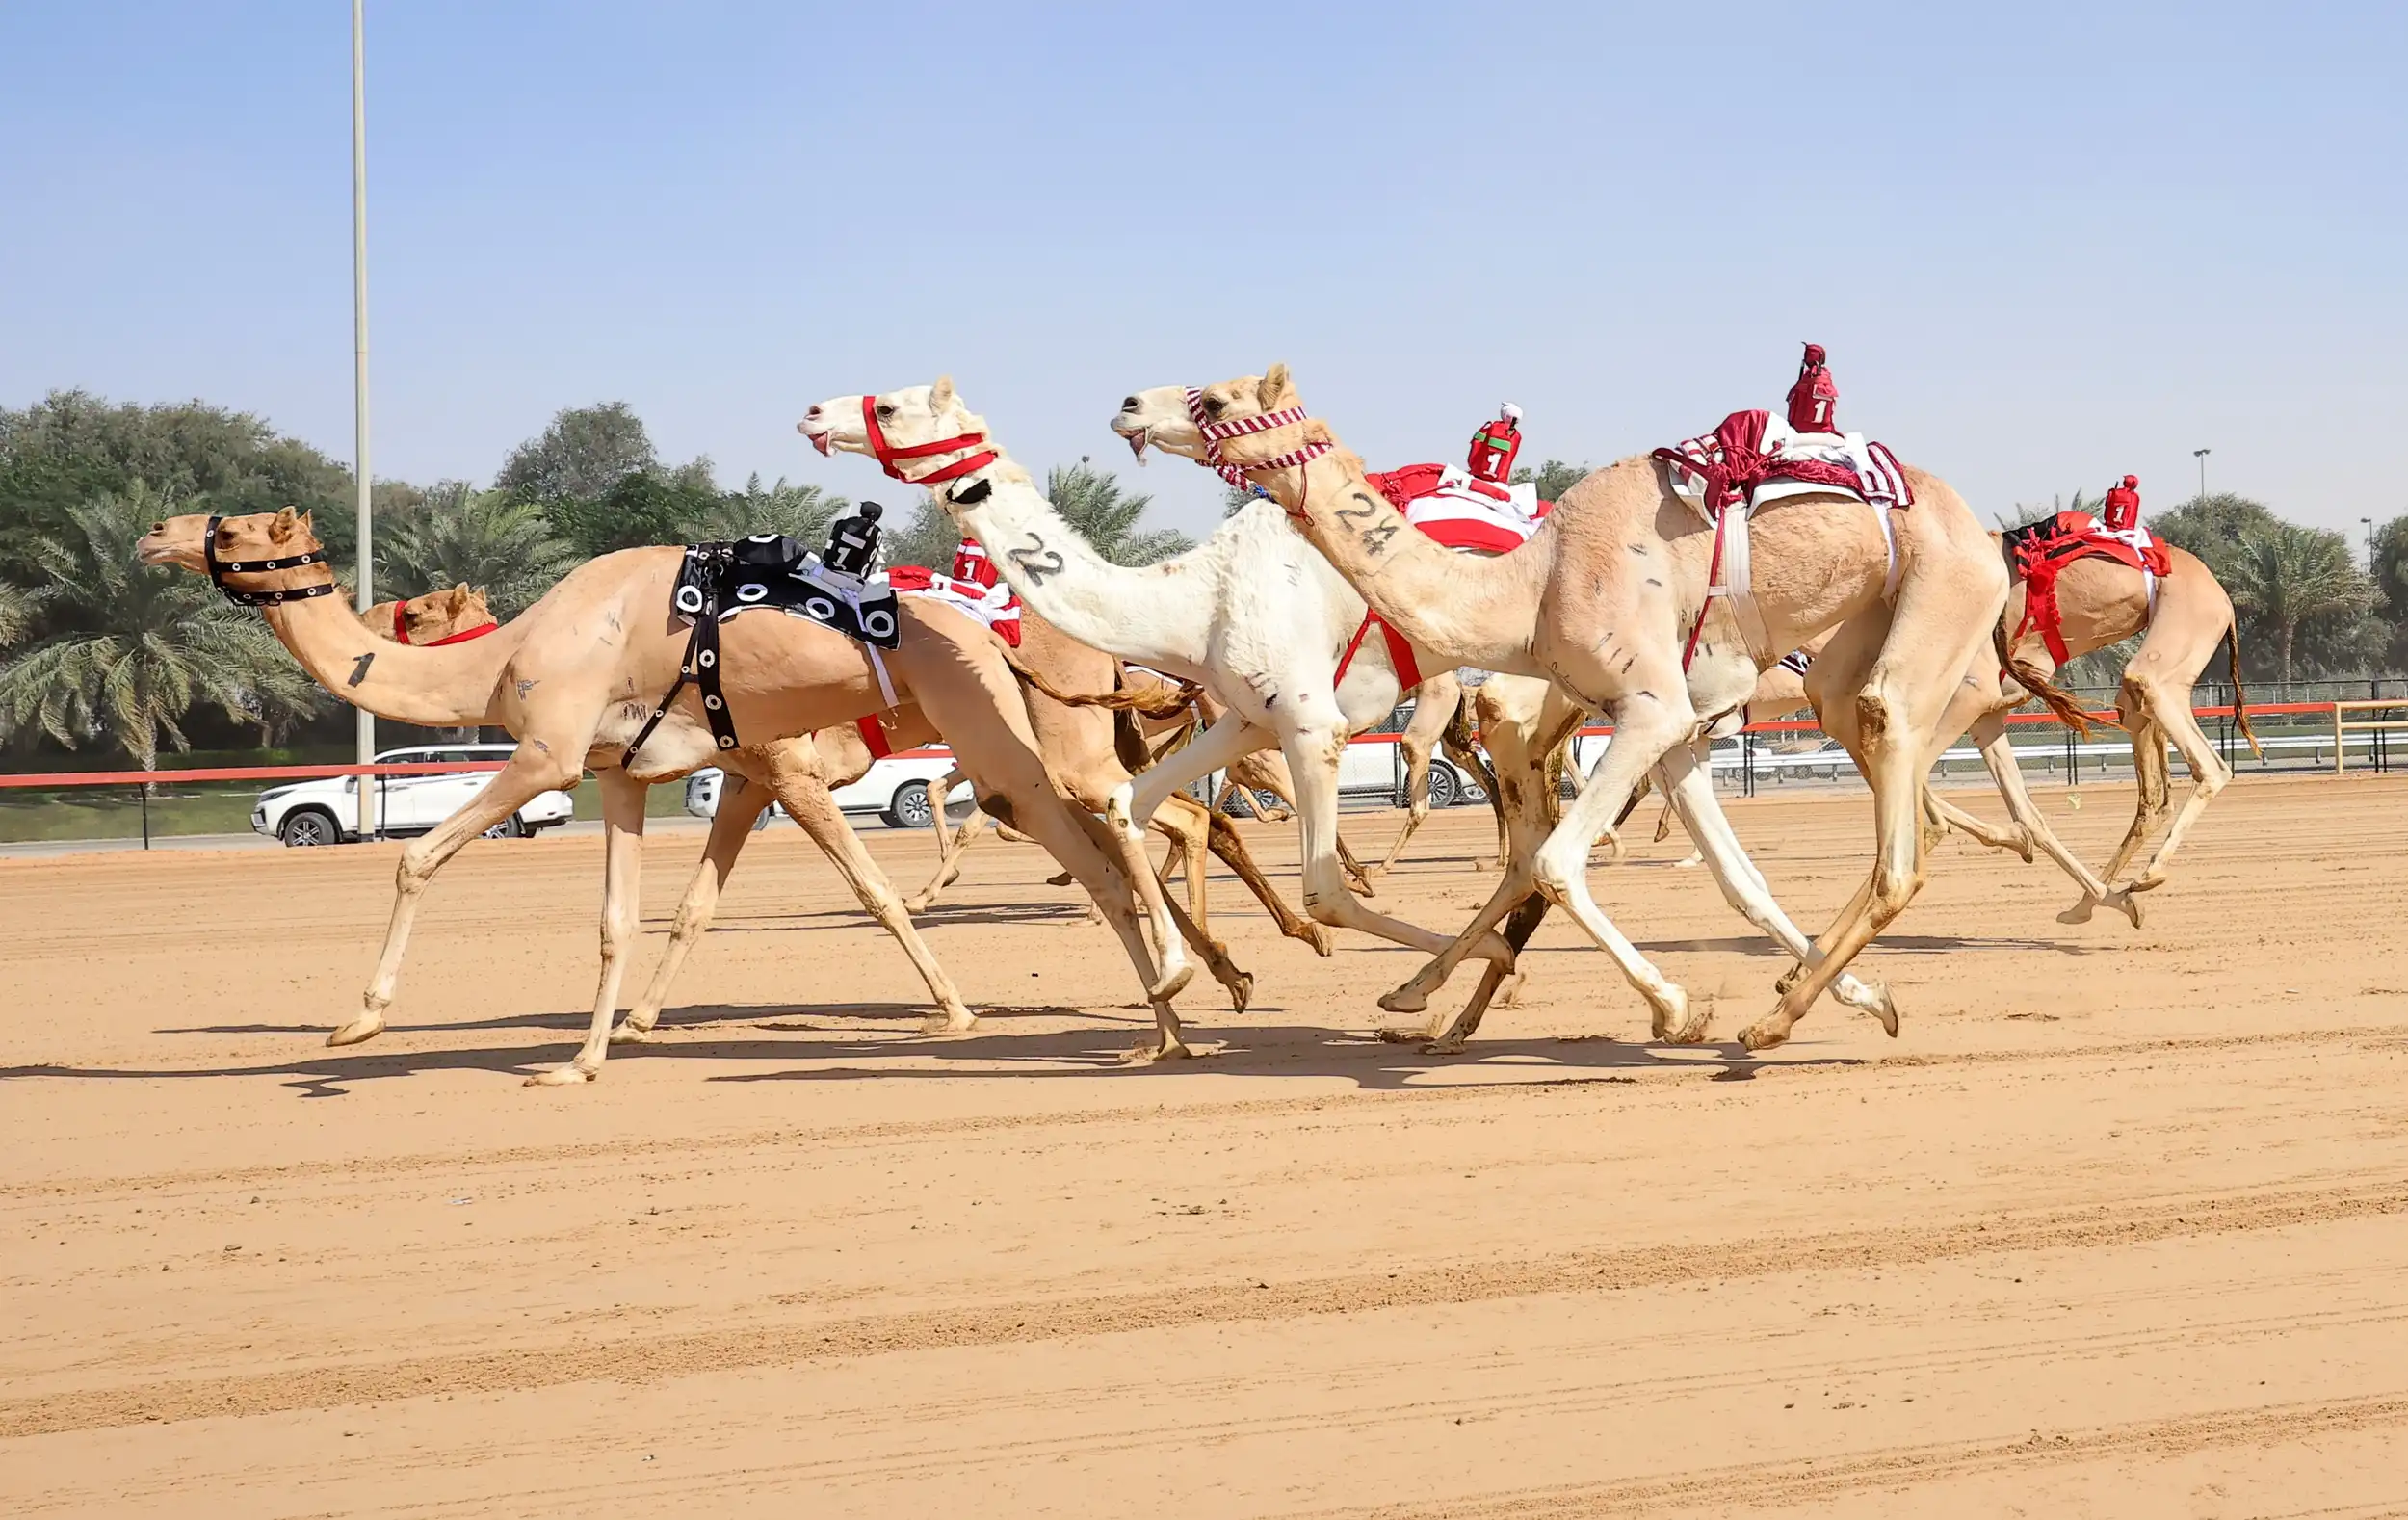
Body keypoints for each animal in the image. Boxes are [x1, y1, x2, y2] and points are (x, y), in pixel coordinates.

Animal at [137, 509, 1204, 1076]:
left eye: (232, 526)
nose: (156, 534)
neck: (516, 652)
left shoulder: (560, 757)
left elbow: (415, 857)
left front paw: (359, 1019)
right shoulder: (652, 774)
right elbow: (652, 914)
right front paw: (595, 1051)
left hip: (1011, 737)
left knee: (1106, 839)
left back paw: (1174, 1005)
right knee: (1131, 832)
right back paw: (1173, 1018)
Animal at [799, 380, 1536, 1000]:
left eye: (889, 405)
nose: (812, 413)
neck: (1194, 605)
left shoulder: (1310, 725)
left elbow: (1323, 890)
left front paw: (1462, 964)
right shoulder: (1250, 720)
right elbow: (1134, 807)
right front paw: (1177, 968)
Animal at [1119, 367, 2014, 1053]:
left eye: (1217, 399)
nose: (1129, 404)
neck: (1530, 587)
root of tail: (1984, 531)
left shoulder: (1647, 709)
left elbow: (1553, 862)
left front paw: (1676, 1009)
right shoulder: (1673, 725)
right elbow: (1739, 880)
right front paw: (1860, 994)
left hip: (1943, 599)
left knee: (1899, 819)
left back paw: (1773, 1022)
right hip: (1843, 661)